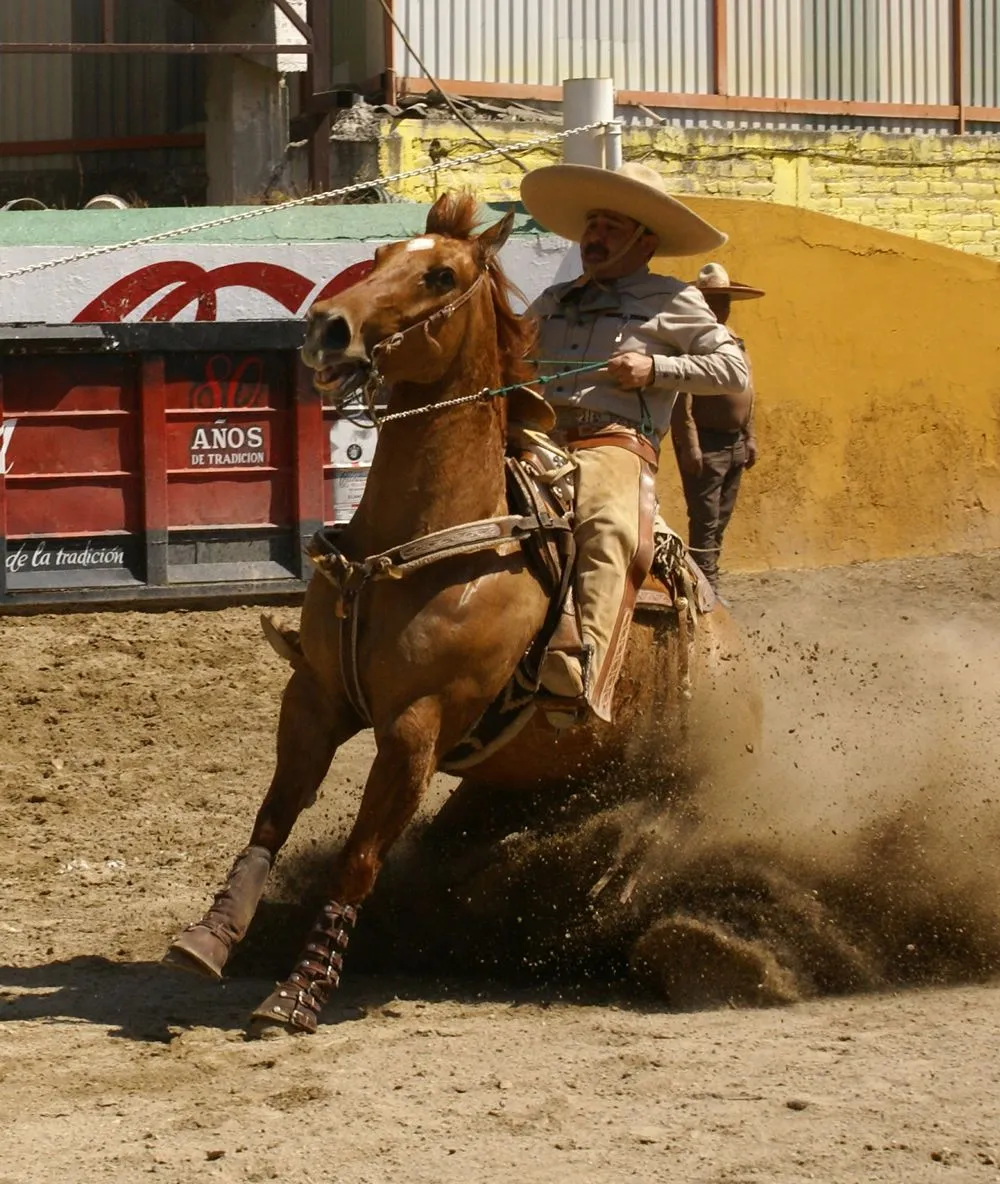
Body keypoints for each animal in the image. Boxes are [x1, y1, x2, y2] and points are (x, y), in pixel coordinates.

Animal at [162, 189, 757, 1032]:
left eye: (441, 274)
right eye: (379, 257)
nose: (326, 326)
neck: (412, 539)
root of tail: (736, 655)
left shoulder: (417, 727)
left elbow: (360, 859)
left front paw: (299, 991)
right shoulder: (314, 696)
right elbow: (272, 816)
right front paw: (211, 935)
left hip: (676, 786)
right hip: (514, 781)